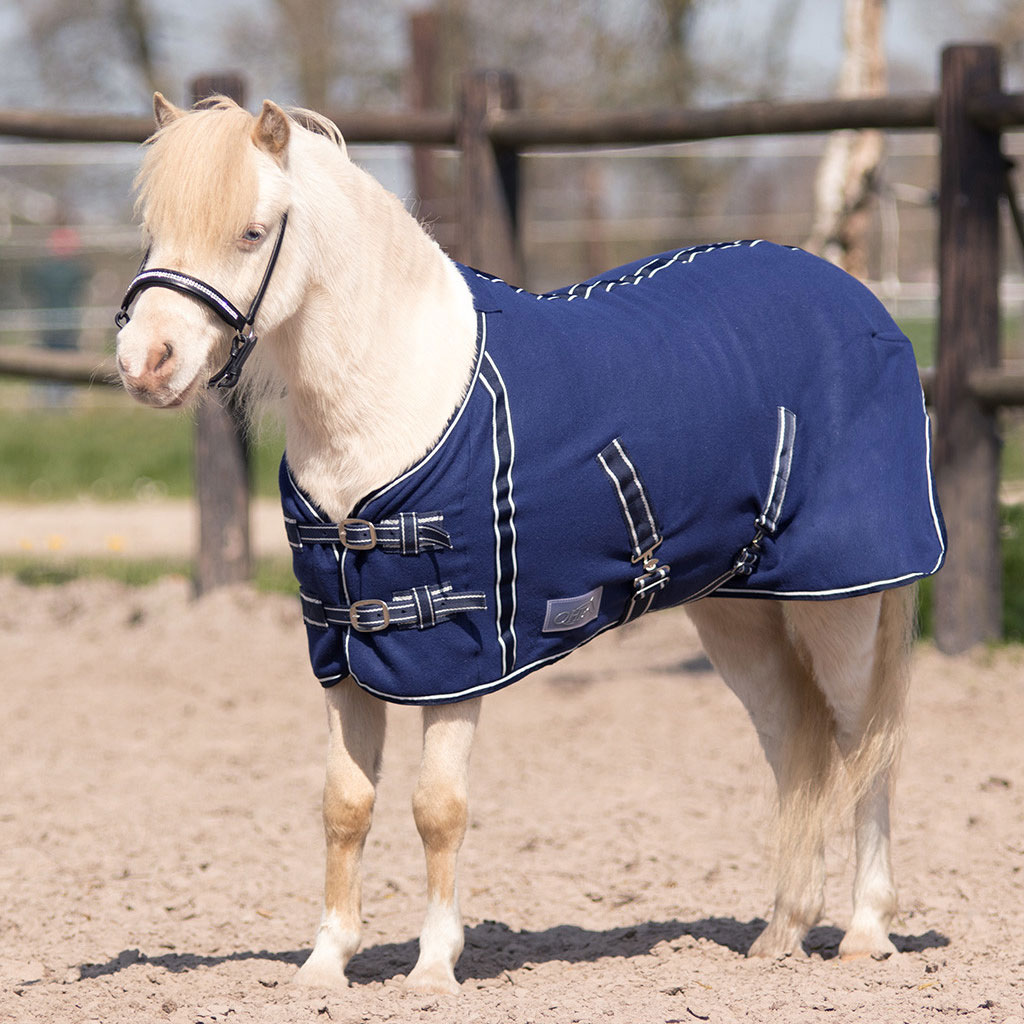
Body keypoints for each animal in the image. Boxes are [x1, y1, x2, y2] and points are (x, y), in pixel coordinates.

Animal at [114, 93, 945, 994]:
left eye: (253, 231)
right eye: (153, 229)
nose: (144, 363)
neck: (395, 398)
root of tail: (864, 306)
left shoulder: (454, 655)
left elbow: (437, 809)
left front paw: (433, 968)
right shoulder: (344, 651)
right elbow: (344, 805)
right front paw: (324, 964)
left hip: (845, 602)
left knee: (864, 746)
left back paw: (865, 932)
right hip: (738, 612)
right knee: (793, 743)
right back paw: (780, 934)